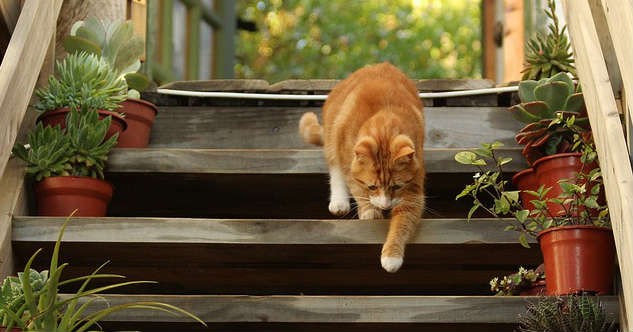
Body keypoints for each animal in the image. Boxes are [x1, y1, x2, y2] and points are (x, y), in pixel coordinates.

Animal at [298, 62, 424, 272]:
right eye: (372, 186)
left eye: (397, 186)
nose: (385, 205)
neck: (384, 123)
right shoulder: (347, 158)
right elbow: (355, 187)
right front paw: (369, 210)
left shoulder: (413, 191)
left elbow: (403, 222)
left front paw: (391, 257)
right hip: (333, 139)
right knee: (335, 170)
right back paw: (339, 202)